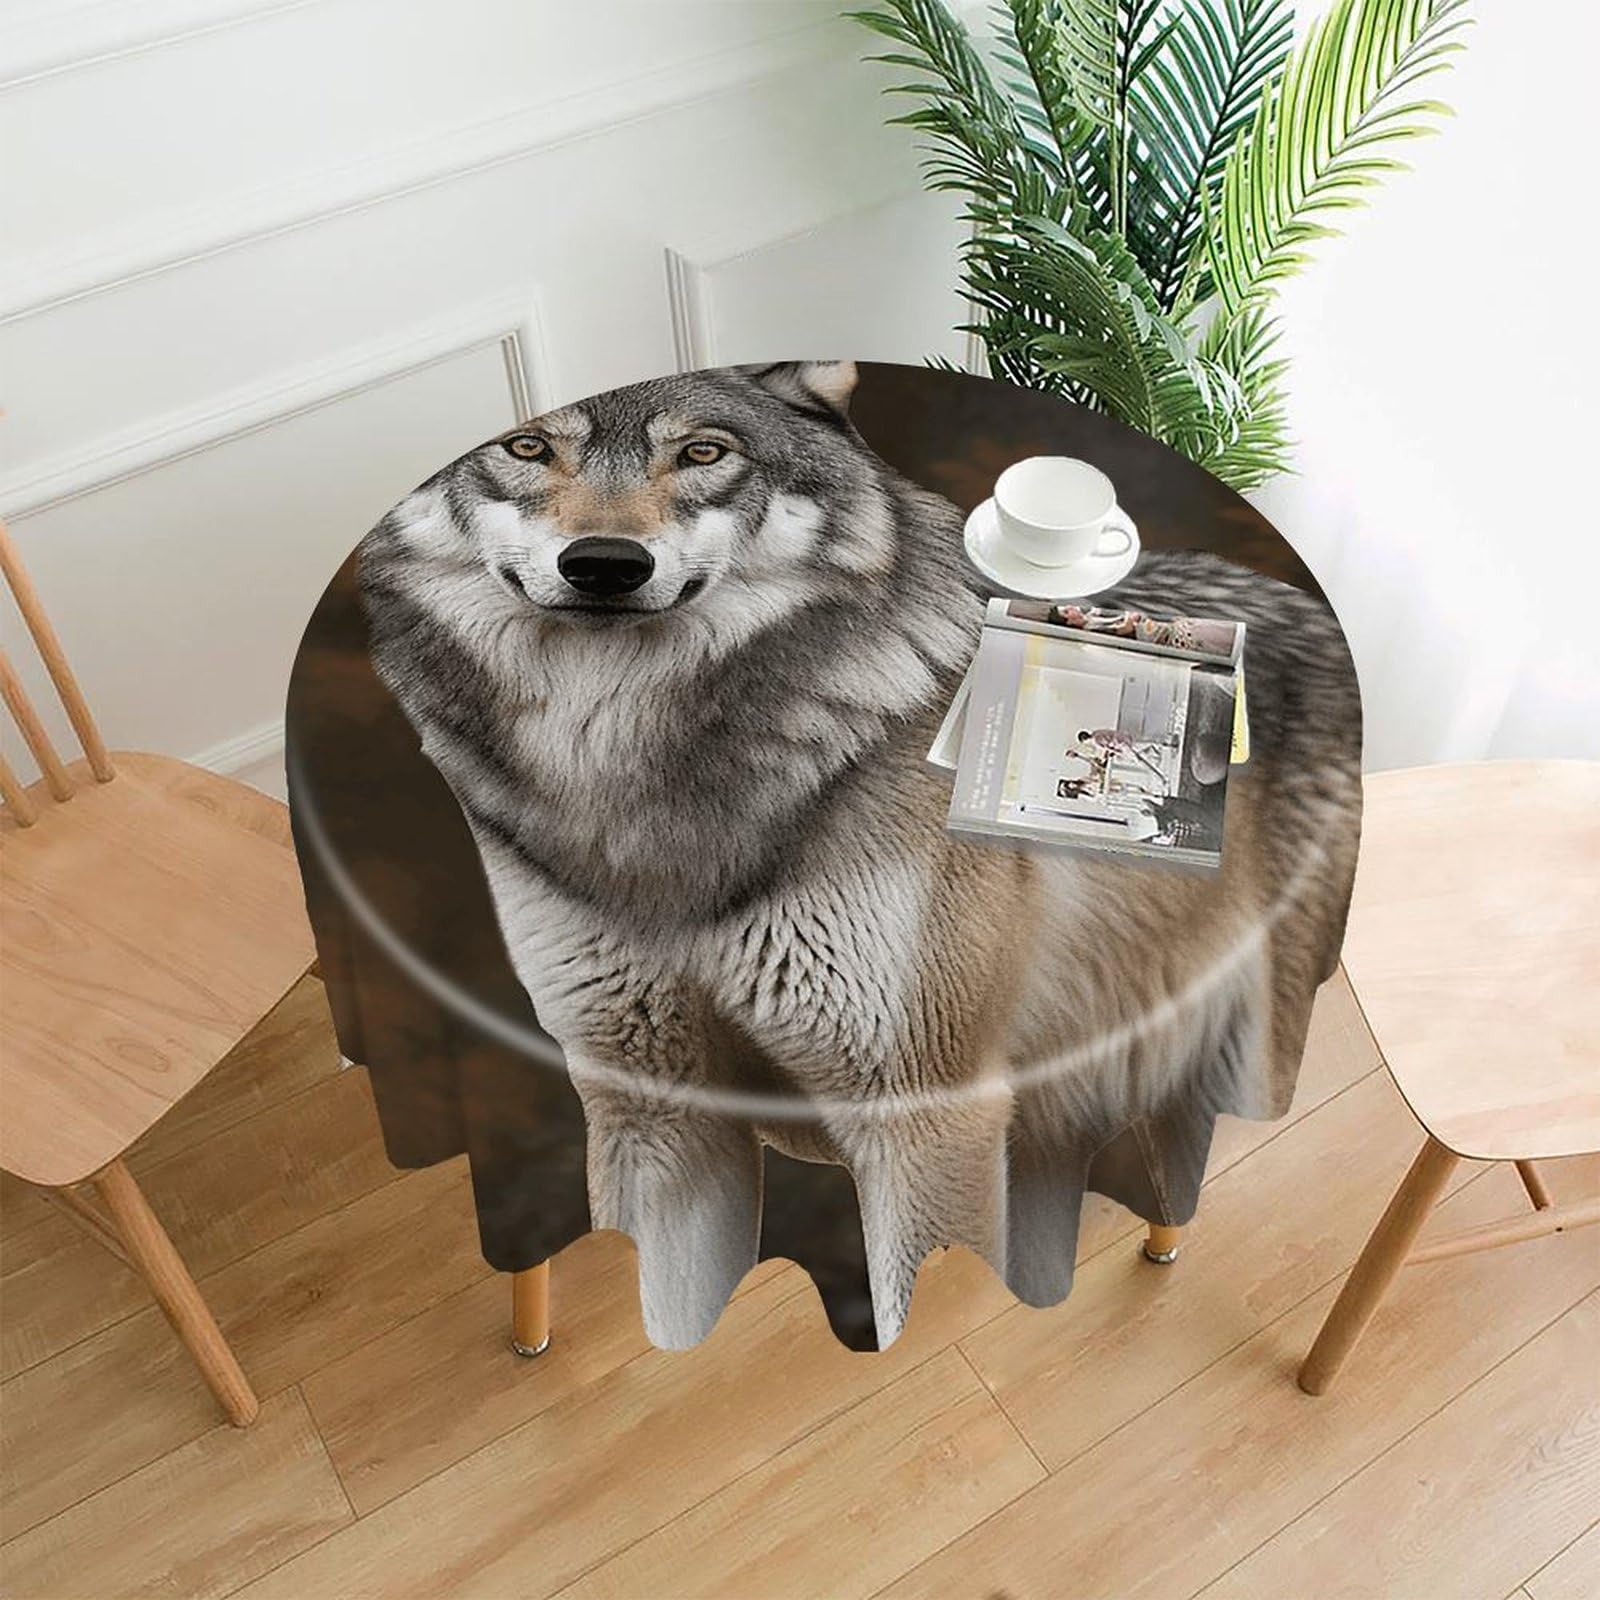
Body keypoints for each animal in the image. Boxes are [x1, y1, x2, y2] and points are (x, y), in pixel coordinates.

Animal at [359, 360, 1362, 1349]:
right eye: (526, 447)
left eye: (703, 452)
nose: (603, 565)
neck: (626, 782)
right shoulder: (651, 1105)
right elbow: (673, 1309)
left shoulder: (924, 1115)